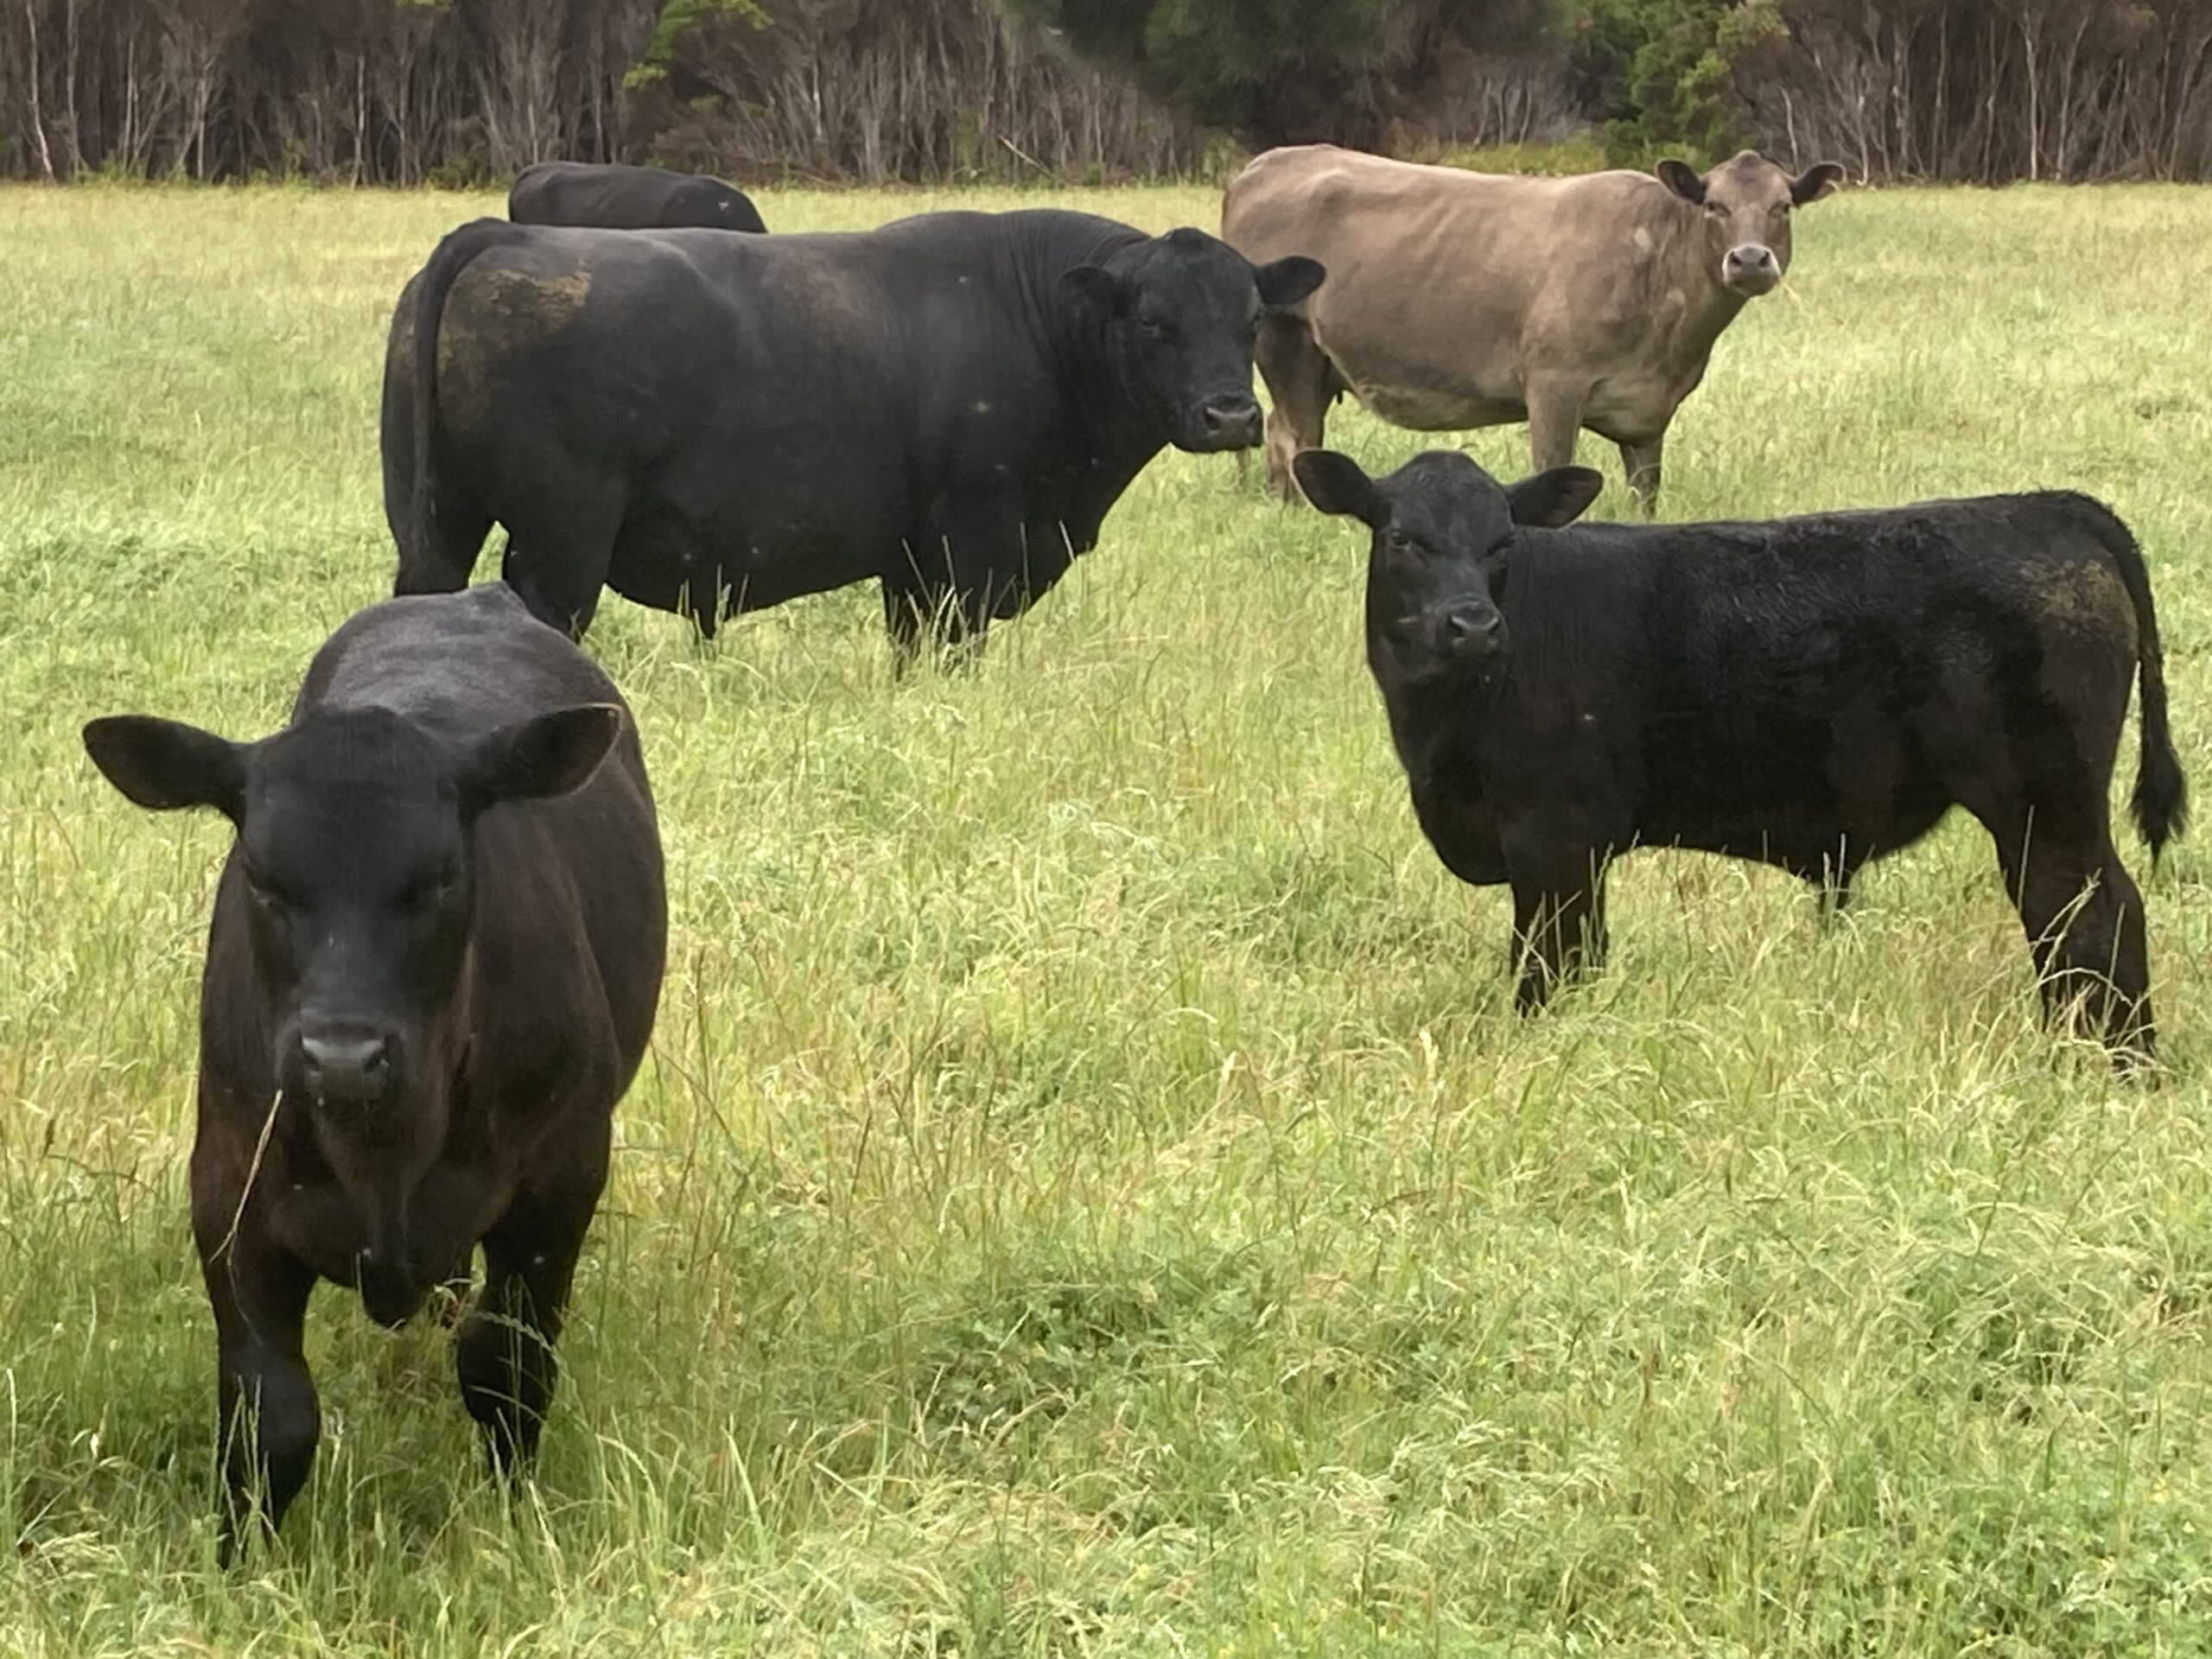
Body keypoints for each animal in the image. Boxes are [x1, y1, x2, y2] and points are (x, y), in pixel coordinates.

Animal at [81, 583, 667, 1556]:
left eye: (439, 879)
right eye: (262, 877)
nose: (343, 1055)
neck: (383, 1151)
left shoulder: (563, 1174)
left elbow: (506, 1364)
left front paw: (513, 1524)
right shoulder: (229, 1186)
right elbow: (268, 1411)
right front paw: (239, 1561)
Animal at [379, 211, 1324, 656]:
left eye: (1249, 320)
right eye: (1154, 324)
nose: (1230, 415)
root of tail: (507, 232)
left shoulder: (909, 563)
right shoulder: (970, 541)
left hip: (439, 520)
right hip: (562, 543)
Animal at [1222, 146, 1844, 513]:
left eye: (1783, 206)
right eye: (1714, 205)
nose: (1749, 259)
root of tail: (1265, 164)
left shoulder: (1648, 414)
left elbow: (1646, 495)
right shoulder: (1553, 385)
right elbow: (1552, 472)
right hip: (1286, 344)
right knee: (1292, 435)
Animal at [1293, 447, 2185, 1059]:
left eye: (1503, 542)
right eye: (1402, 540)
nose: (1472, 625)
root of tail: (2048, 507)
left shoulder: (1555, 842)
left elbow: (1550, 968)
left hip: (2046, 801)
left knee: (2094, 916)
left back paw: (2112, 1065)